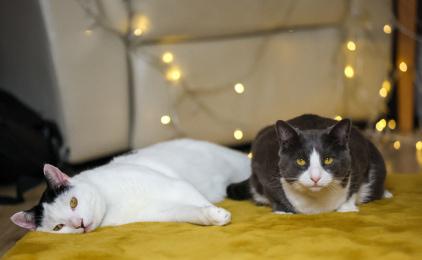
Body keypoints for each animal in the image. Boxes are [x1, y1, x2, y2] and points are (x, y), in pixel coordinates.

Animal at [10, 139, 251, 235]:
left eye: (73, 202)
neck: (113, 205)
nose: (79, 224)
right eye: (58, 227)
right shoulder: (160, 211)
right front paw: (210, 217)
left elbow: (199, 201)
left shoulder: (176, 186)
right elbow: (190, 212)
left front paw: (218, 213)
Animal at [227, 115, 392, 214]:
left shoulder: (360, 152)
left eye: (328, 159)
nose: (315, 178)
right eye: (301, 161)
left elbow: (354, 186)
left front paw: (347, 208)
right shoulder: (262, 160)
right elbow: (273, 193)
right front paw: (282, 211)